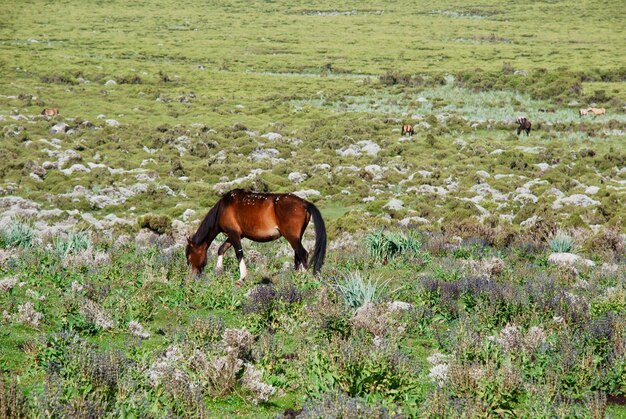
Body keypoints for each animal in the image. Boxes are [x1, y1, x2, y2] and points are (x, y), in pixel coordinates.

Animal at [184, 189, 326, 286]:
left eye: (189, 257)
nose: (193, 277)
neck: (223, 208)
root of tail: (303, 203)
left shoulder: (234, 234)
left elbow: (239, 254)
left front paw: (241, 278)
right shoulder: (236, 235)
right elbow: (221, 249)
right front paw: (218, 271)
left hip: (292, 237)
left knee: (303, 254)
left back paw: (304, 280)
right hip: (296, 238)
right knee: (298, 256)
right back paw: (297, 278)